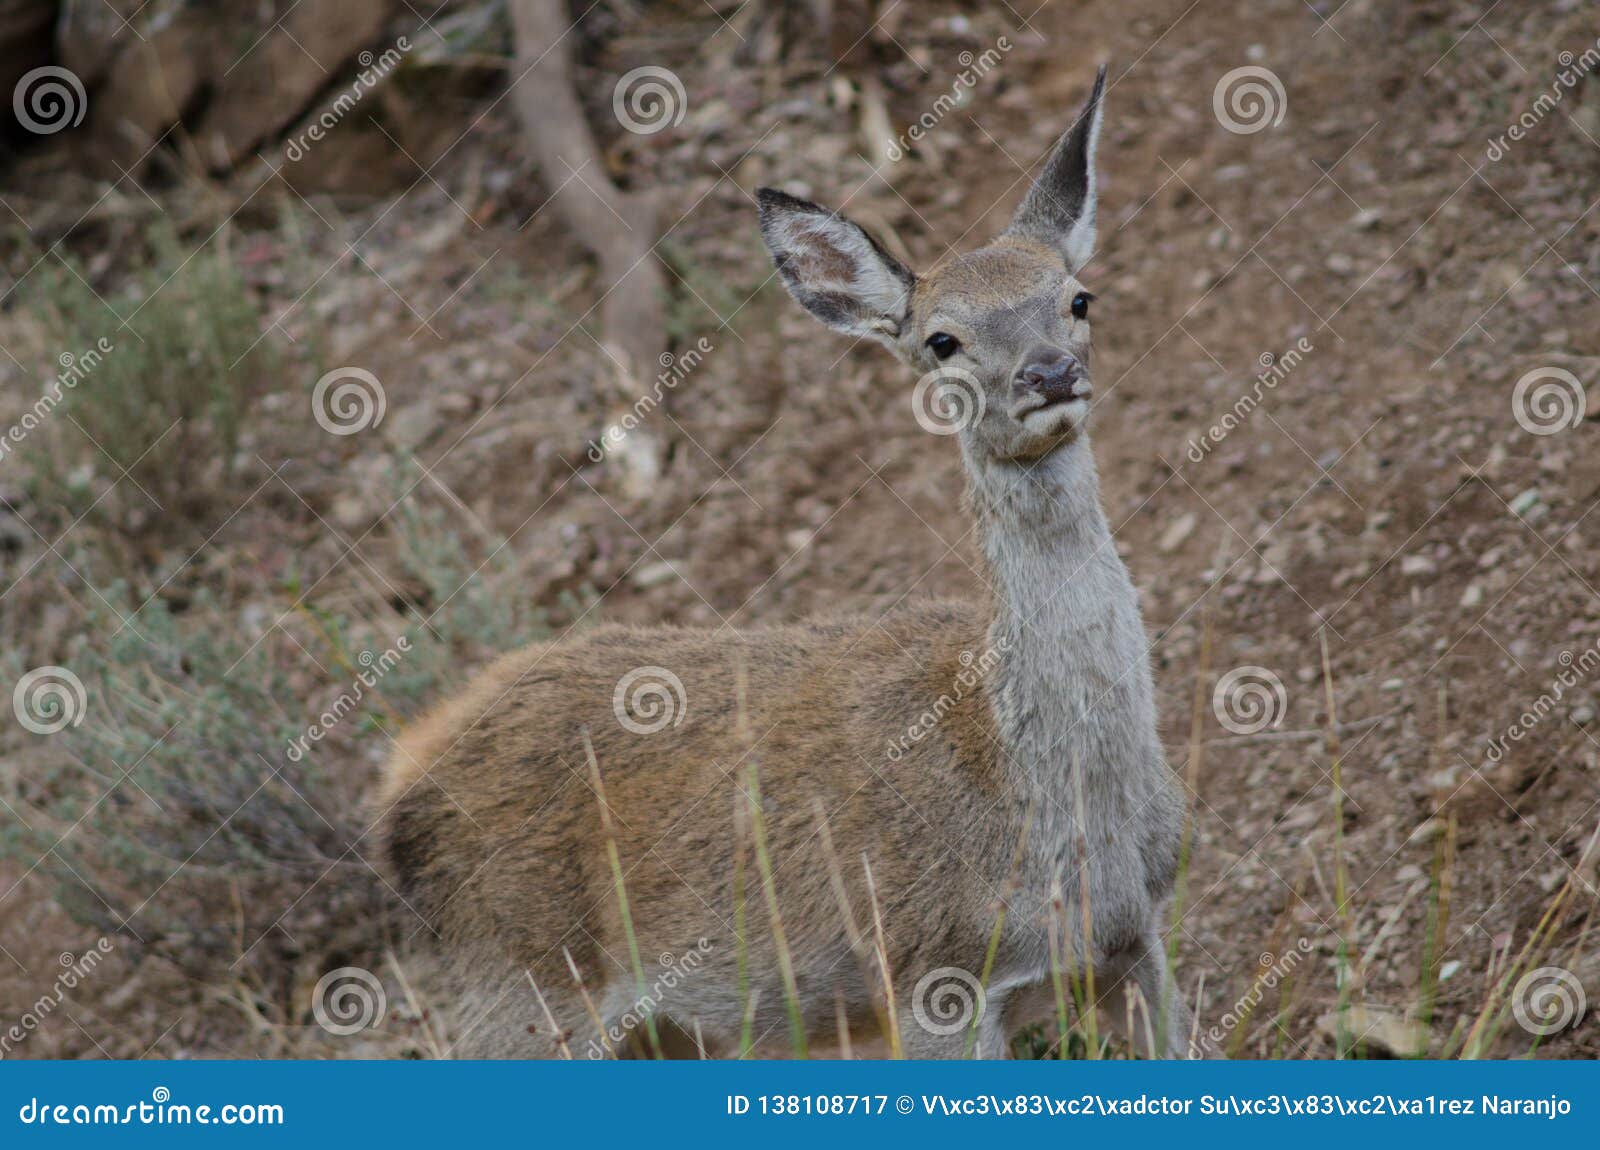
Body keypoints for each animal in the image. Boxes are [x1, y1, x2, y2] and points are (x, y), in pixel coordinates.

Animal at [377, 67, 1203, 1062]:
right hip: (523, 994)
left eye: (1078, 298)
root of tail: (404, 773)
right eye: (942, 340)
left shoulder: (1144, 931)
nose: (1046, 373)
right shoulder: (929, 976)